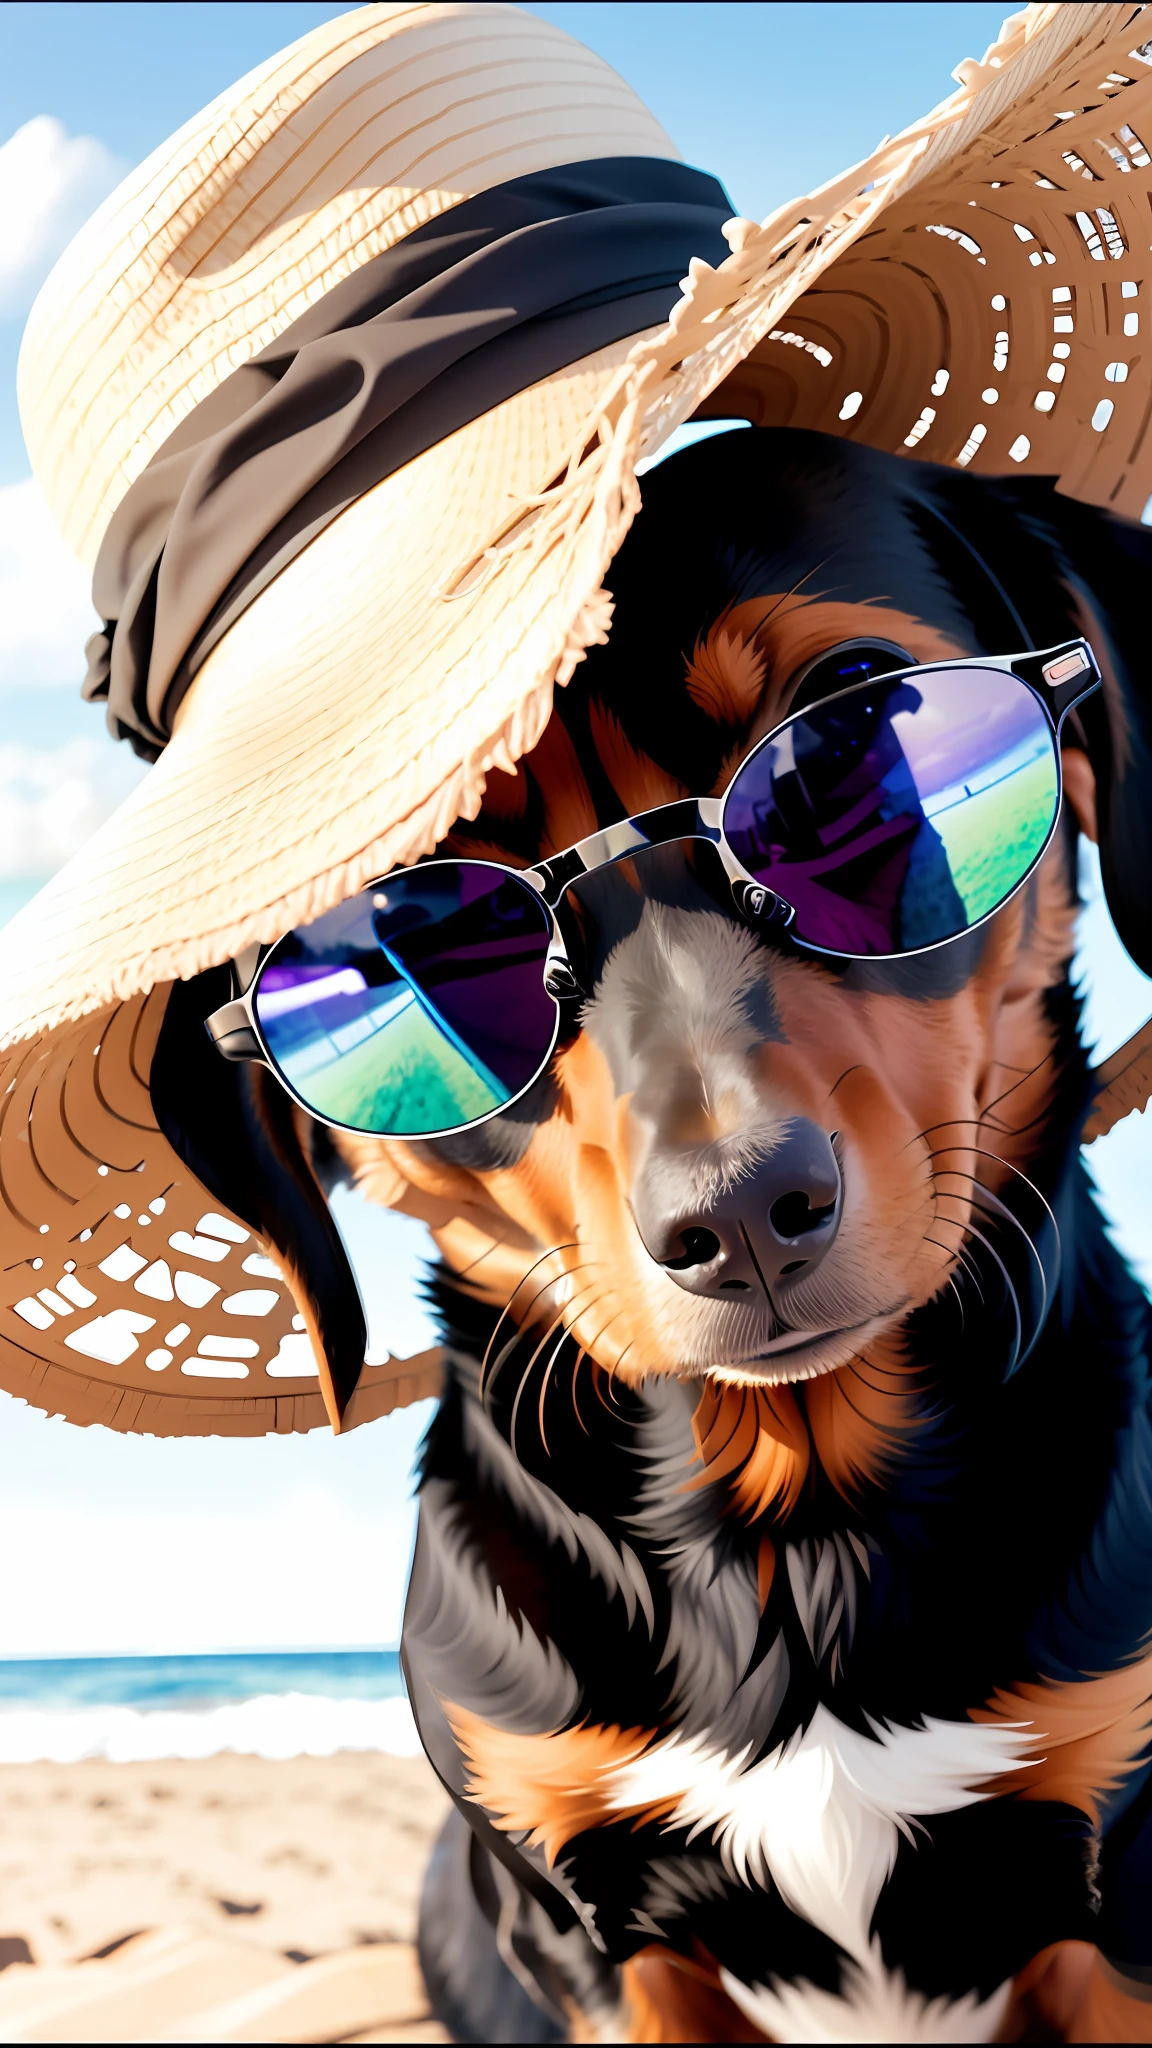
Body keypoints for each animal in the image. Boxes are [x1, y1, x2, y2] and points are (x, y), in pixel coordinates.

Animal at [156, 423, 1147, 2039]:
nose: (741, 1212)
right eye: (406, 939)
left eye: (847, 746)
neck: (790, 1537)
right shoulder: (591, 1931)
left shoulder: (1121, 1879)